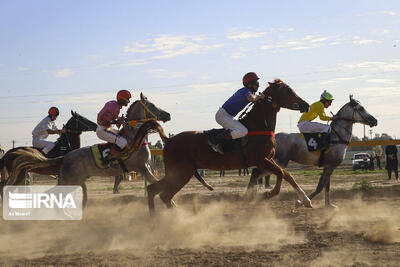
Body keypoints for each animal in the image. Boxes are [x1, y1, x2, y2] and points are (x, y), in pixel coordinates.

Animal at [10, 93, 170, 207]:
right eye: (153, 105)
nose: (168, 114)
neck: (134, 137)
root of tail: (65, 157)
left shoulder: (147, 167)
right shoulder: (143, 168)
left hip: (73, 179)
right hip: (69, 179)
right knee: (50, 195)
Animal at [147, 78, 312, 216]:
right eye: (287, 91)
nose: (306, 105)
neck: (259, 125)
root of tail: (169, 140)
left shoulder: (269, 159)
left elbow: (287, 175)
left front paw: (305, 200)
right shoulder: (261, 160)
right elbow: (281, 173)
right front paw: (268, 194)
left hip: (179, 173)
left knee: (155, 191)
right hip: (181, 172)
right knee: (163, 194)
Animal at [245, 95, 380, 208]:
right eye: (361, 108)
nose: (375, 121)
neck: (337, 136)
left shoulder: (328, 166)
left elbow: (326, 186)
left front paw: (329, 205)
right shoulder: (331, 166)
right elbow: (320, 187)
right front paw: (301, 202)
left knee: (256, 173)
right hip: (280, 162)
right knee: (256, 172)